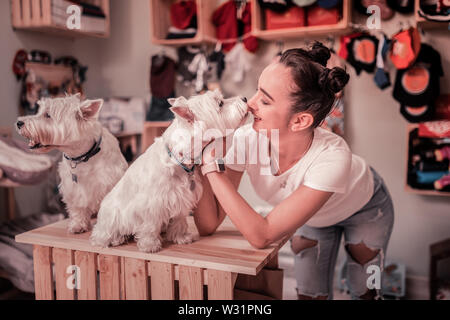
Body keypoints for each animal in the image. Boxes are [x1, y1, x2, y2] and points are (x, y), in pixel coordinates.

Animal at [15, 94, 127, 234]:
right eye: (38, 111)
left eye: (48, 115)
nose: (19, 123)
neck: (82, 157)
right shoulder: (73, 188)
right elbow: (77, 207)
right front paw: (78, 226)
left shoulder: (108, 183)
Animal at [89, 90, 248, 252]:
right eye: (220, 103)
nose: (245, 98)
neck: (178, 159)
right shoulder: (152, 203)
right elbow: (150, 225)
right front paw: (150, 245)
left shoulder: (182, 198)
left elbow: (179, 220)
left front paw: (181, 237)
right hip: (112, 215)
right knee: (102, 233)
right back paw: (113, 239)